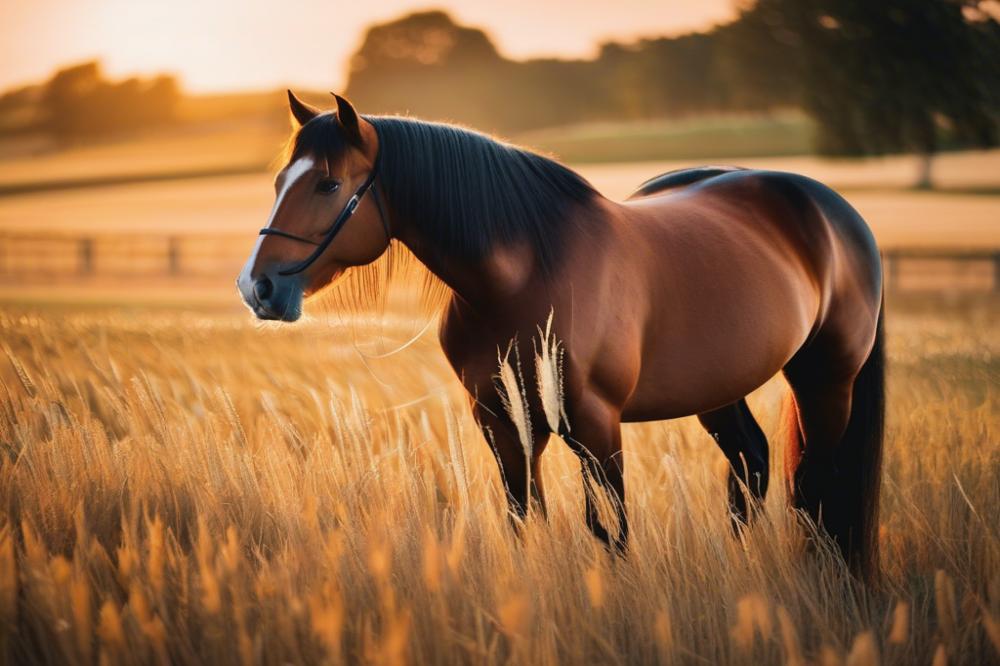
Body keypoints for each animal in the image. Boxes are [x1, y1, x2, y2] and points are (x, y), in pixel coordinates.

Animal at [236, 91, 884, 580]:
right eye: (280, 180)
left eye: (326, 185)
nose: (257, 286)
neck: (525, 272)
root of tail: (831, 209)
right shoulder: (503, 423)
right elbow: (525, 520)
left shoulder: (594, 425)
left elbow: (610, 530)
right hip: (719, 388)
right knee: (752, 464)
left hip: (826, 380)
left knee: (817, 485)